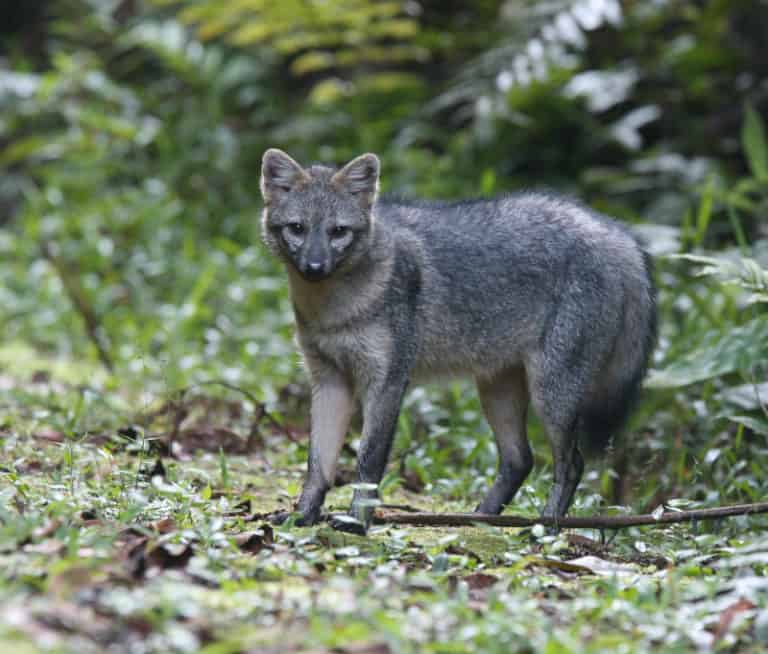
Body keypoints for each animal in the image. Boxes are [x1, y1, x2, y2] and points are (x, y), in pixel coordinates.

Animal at [260, 148, 656, 533]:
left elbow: (368, 459)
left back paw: (545, 527)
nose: (314, 267)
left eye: (338, 231)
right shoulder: (330, 380)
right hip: (498, 392)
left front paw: (357, 522)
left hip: (551, 395)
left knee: (571, 463)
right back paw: (483, 517)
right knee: (520, 460)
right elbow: (317, 463)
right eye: (298, 228)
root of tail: (613, 230)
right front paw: (303, 515)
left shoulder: (387, 381)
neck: (335, 310)